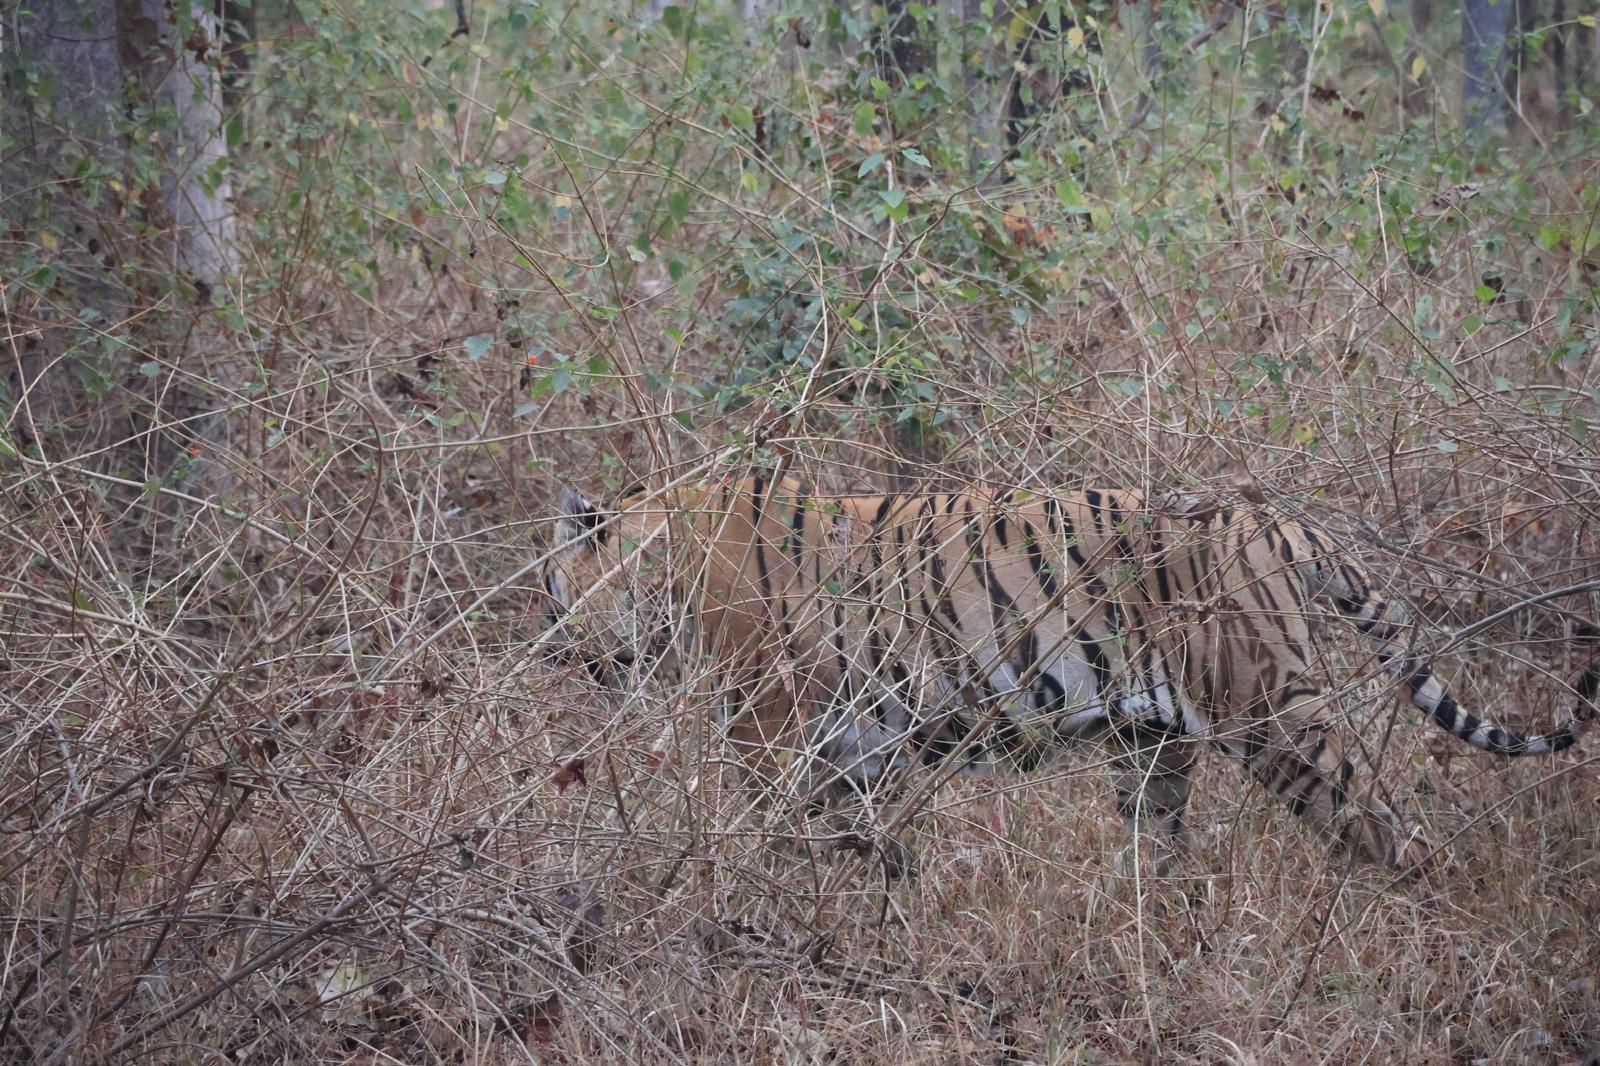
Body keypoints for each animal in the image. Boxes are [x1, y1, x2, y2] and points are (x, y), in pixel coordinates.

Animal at [540, 473, 1597, 870]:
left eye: (550, 589)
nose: (549, 653)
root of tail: (1278, 521)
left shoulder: (769, 725)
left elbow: (766, 829)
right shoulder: (852, 746)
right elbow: (850, 840)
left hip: (1274, 721)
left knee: (1383, 824)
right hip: (1155, 747)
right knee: (1166, 850)